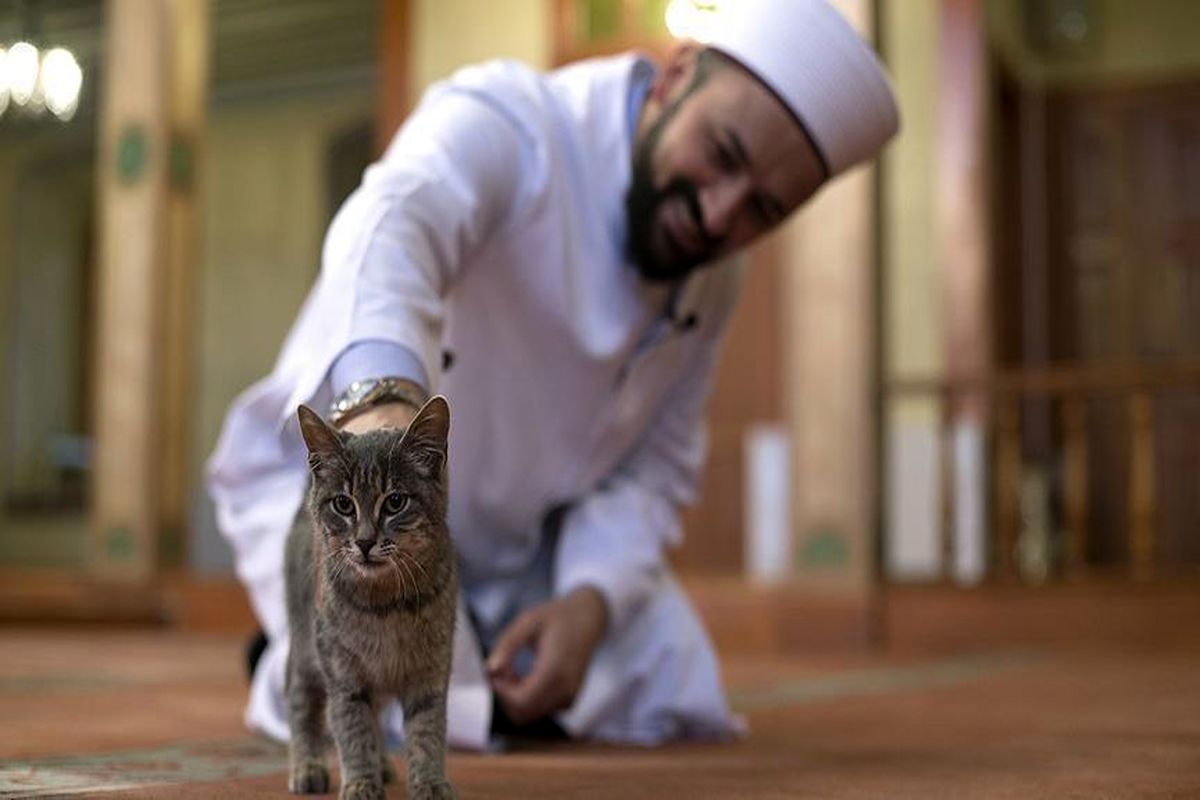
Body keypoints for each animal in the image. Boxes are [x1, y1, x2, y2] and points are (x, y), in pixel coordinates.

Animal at [285, 398, 458, 800]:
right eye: (343, 505)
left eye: (394, 502)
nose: (364, 541)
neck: (387, 605)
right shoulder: (344, 677)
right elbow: (352, 731)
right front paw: (361, 782)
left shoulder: (431, 673)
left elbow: (427, 732)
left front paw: (429, 781)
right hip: (304, 654)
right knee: (301, 707)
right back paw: (307, 765)